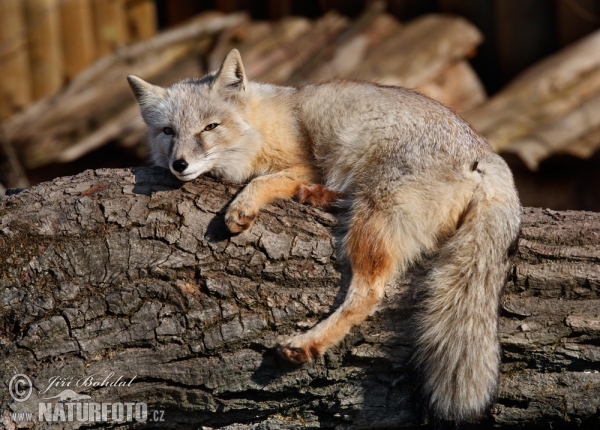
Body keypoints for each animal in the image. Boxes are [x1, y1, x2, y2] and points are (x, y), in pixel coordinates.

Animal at [126, 48, 520, 422]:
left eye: (210, 127)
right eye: (168, 132)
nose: (179, 165)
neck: (263, 124)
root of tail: (485, 153)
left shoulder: (304, 164)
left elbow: (265, 179)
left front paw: (243, 206)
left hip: (370, 220)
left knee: (369, 294)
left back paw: (307, 343)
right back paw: (322, 196)